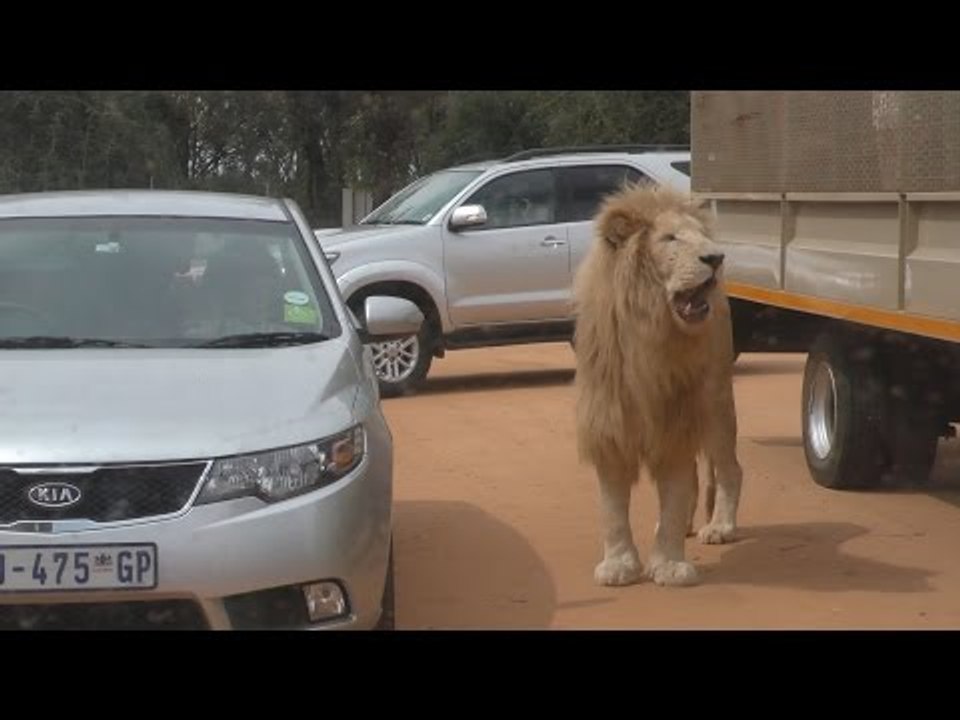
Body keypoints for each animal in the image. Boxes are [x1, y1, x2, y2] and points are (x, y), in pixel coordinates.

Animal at [572, 184, 743, 587]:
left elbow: (675, 493)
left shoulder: (677, 421)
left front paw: (669, 565)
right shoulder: (609, 425)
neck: (649, 336)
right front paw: (619, 565)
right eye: (670, 238)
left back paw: (720, 527)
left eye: (702, 235)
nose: (716, 257)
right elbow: (612, 510)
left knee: (730, 470)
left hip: (715, 403)